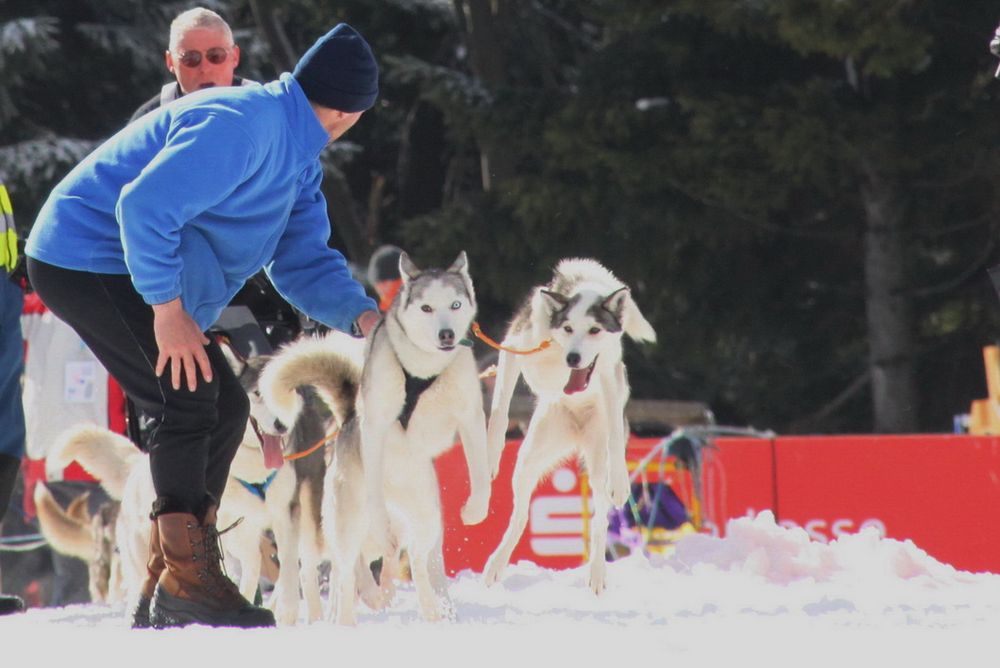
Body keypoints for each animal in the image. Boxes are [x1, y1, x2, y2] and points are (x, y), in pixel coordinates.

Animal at [482, 258, 656, 592]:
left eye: (594, 330)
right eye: (567, 328)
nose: (574, 358)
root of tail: (576, 432)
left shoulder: (610, 375)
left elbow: (616, 436)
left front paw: (621, 482)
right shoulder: (514, 349)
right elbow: (499, 411)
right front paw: (490, 456)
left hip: (597, 463)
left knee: (600, 519)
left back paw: (597, 573)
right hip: (528, 459)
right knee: (520, 517)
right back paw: (496, 564)